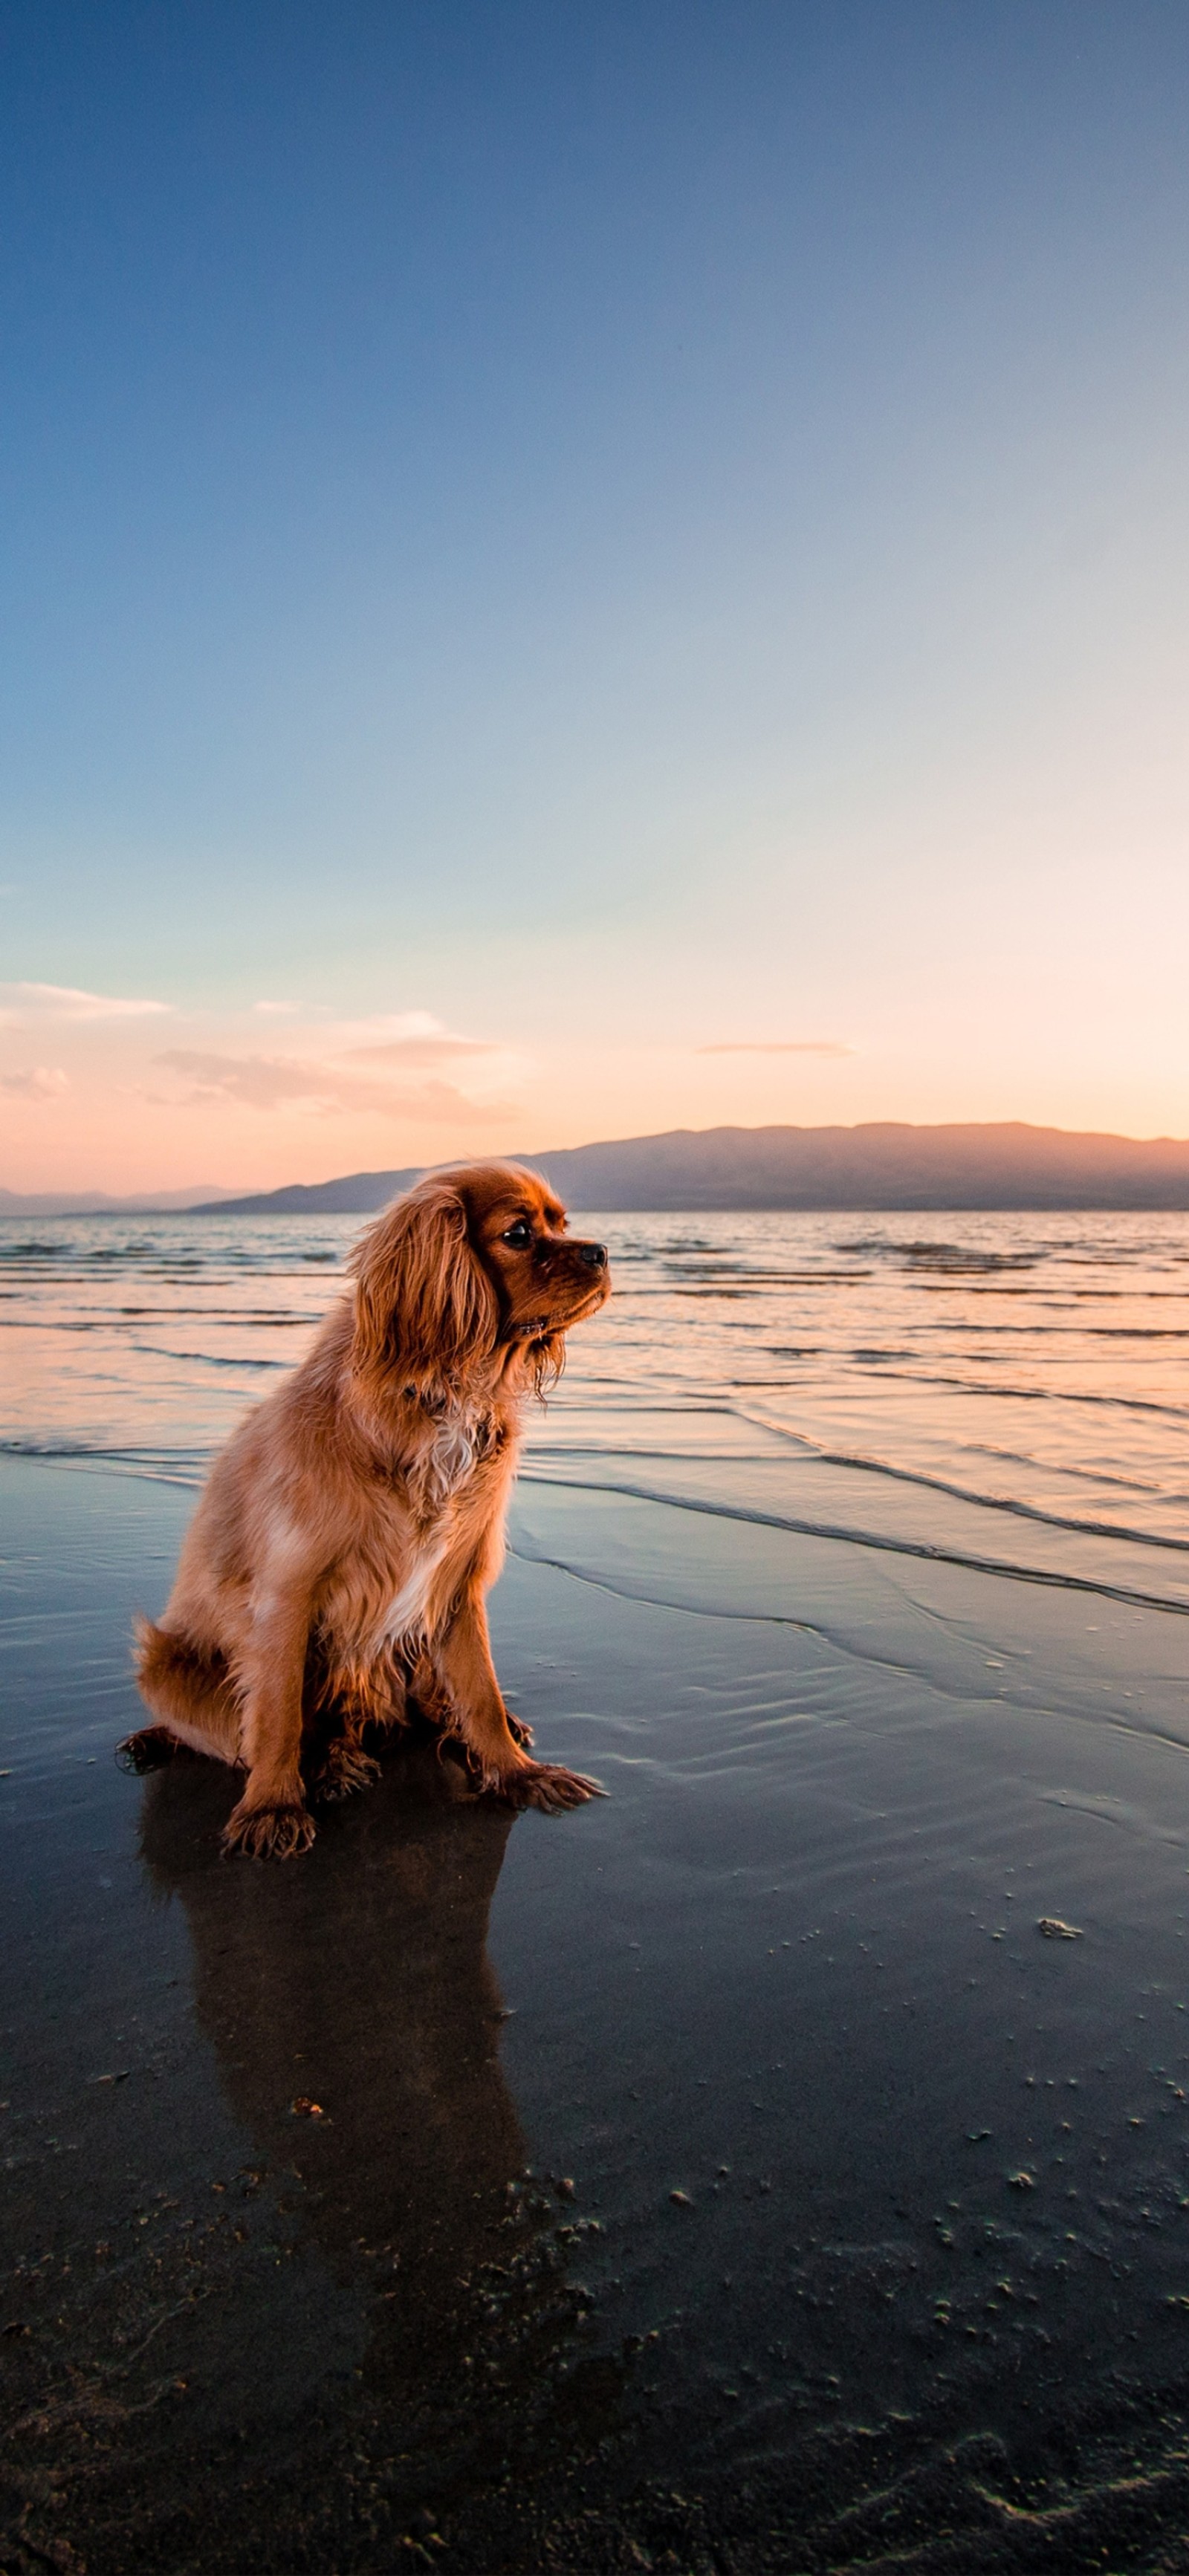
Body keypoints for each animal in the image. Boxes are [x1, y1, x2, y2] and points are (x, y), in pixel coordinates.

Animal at [119, 1164, 611, 1855]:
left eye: (563, 1224)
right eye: (519, 1233)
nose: (602, 1252)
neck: (442, 1396)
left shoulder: (456, 1585)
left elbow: (480, 1693)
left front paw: (516, 1771)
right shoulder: (287, 1592)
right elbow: (277, 1715)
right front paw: (272, 1806)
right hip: (165, 1665)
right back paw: (325, 1764)